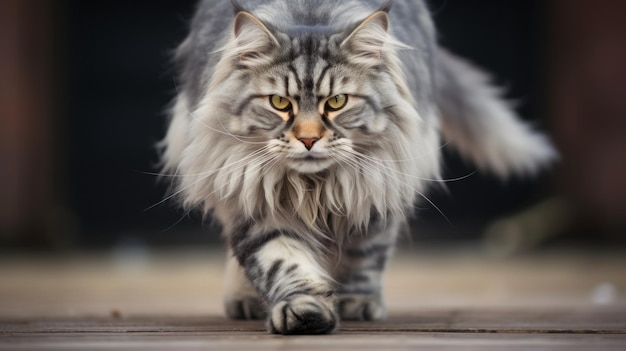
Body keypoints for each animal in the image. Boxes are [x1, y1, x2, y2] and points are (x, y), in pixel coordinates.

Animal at [158, 0, 552, 336]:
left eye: (336, 102)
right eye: (280, 103)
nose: (308, 139)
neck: (314, 185)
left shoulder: (376, 187)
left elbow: (364, 254)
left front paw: (357, 302)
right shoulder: (256, 195)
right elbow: (283, 261)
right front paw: (304, 311)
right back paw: (244, 298)